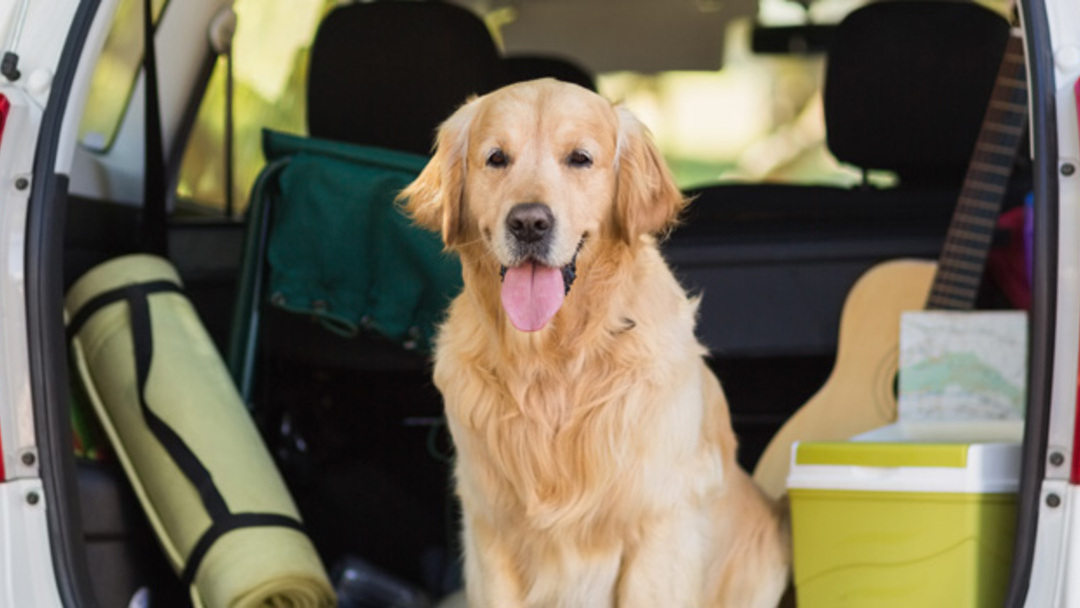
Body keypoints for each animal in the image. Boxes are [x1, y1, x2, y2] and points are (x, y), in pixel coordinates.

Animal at [401, 80, 790, 608]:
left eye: (580, 159)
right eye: (497, 158)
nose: (529, 223)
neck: (554, 362)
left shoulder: (657, 527)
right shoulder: (490, 530)